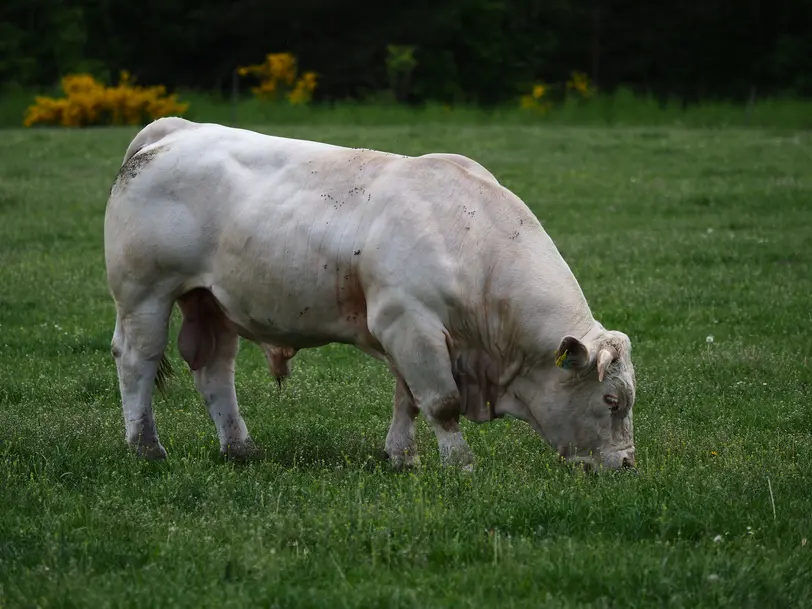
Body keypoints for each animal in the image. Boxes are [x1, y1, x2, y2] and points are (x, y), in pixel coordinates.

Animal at [103, 117, 636, 470]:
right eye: (611, 400)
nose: (628, 464)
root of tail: (174, 129)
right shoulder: (410, 323)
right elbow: (440, 401)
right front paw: (459, 463)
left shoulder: (407, 334)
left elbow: (409, 400)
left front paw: (403, 456)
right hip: (144, 295)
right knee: (137, 361)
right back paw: (147, 448)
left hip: (212, 302)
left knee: (215, 370)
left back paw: (240, 446)